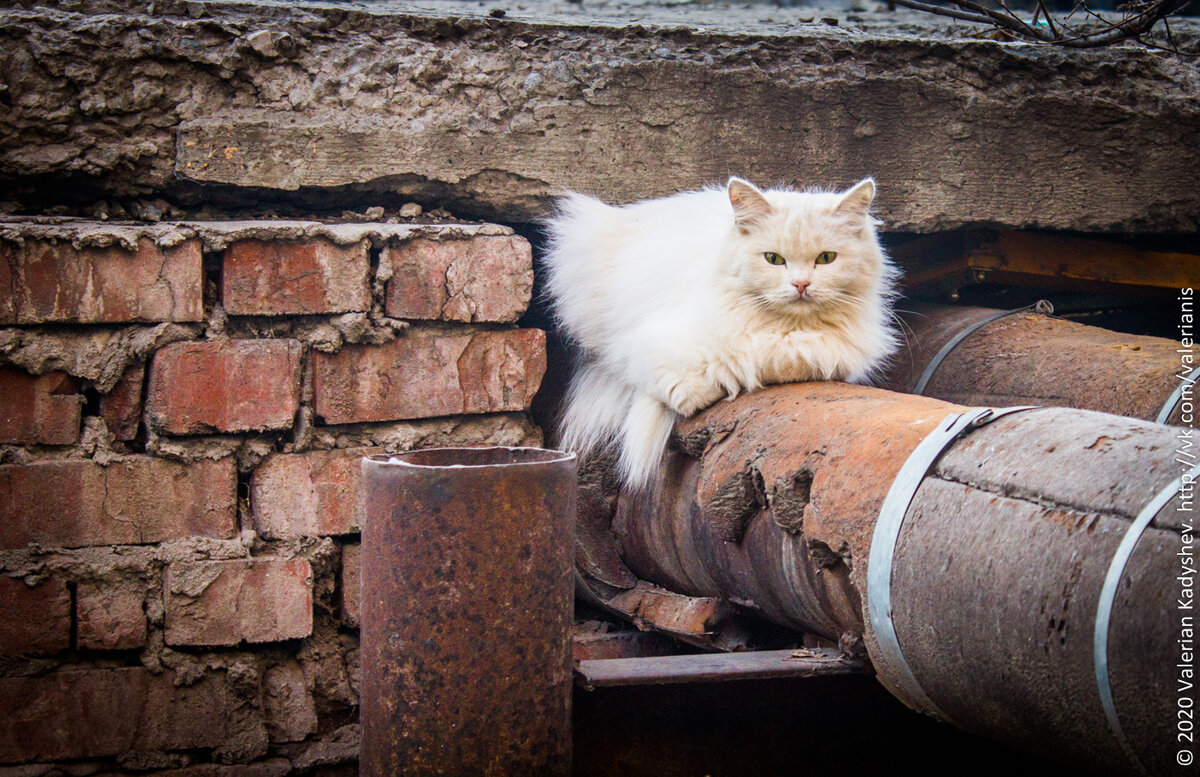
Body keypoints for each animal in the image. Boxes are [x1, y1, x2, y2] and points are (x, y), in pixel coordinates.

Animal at [544, 178, 902, 489]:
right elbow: (669, 378)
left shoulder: (824, 353)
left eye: (826, 259)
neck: (783, 329)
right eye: (773, 259)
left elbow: (763, 363)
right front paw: (698, 395)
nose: (801, 285)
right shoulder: (640, 343)